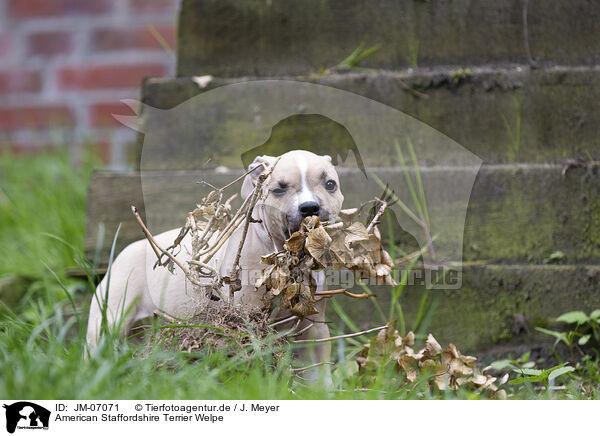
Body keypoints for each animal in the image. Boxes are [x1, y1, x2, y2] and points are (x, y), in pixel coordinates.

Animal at [86, 152, 344, 384]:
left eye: (330, 184)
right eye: (279, 189)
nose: (310, 207)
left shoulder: (313, 326)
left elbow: (318, 372)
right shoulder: (245, 317)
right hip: (110, 317)